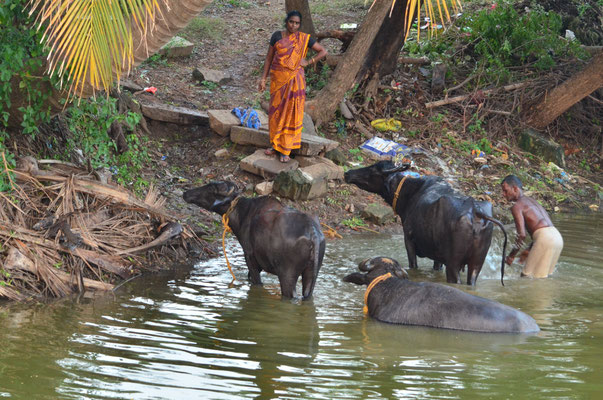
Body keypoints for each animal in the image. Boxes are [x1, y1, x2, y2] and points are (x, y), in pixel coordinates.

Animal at [183, 183, 326, 298]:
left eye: (211, 188)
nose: (185, 193)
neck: (243, 214)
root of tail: (313, 233)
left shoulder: (250, 257)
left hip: (287, 275)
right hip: (311, 274)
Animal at [342, 161, 508, 286]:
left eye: (373, 168)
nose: (347, 173)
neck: (409, 193)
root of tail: (476, 211)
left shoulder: (409, 240)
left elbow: (413, 265)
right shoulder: (438, 256)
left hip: (454, 263)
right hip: (476, 264)